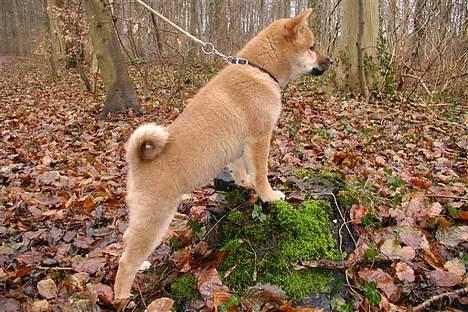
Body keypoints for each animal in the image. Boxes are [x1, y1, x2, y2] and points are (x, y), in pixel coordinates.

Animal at [113, 7, 332, 300]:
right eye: (312, 46)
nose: (330, 61)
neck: (261, 71)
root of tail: (138, 162)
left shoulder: (240, 146)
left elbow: (240, 169)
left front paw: (244, 183)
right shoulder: (260, 138)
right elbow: (261, 173)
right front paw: (269, 196)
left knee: (127, 244)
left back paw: (143, 265)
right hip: (155, 218)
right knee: (126, 261)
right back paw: (122, 296)